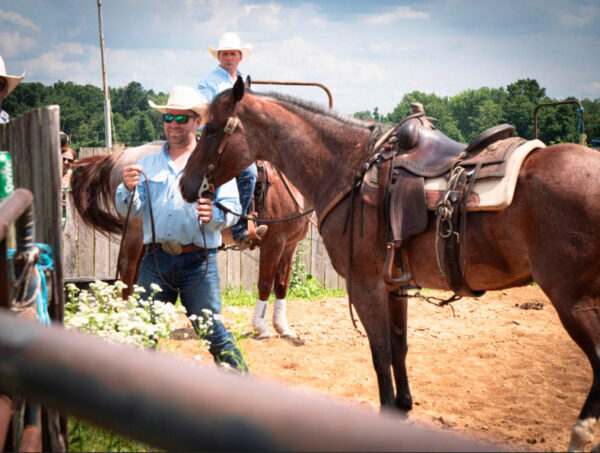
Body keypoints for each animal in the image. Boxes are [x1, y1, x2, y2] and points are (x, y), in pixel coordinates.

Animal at [71, 139, 312, 338]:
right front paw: (261, 328)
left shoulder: (290, 245)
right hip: (134, 232)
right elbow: (265, 283)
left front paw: (283, 328)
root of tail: (122, 156)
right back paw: (130, 321)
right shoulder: (273, 242)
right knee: (127, 273)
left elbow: (281, 284)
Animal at [180, 77, 600, 448]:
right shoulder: (394, 285)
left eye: (212, 129)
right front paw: (403, 408)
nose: (185, 185)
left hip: (574, 302)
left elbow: (380, 350)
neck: (346, 170)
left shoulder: (365, 284)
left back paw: (580, 434)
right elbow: (399, 346)